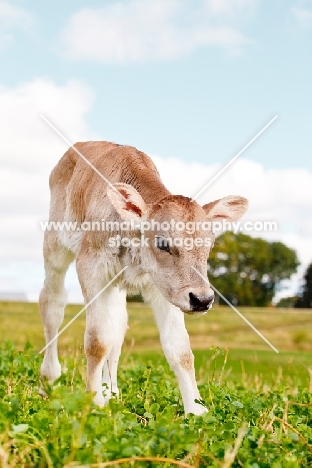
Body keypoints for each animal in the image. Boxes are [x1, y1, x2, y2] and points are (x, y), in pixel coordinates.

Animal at [39, 141, 249, 414]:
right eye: (162, 243)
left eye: (210, 244)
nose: (202, 299)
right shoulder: (90, 267)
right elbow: (97, 340)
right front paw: (92, 402)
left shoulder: (163, 286)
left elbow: (180, 348)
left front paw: (197, 411)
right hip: (54, 245)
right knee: (52, 304)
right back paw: (49, 380)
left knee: (118, 325)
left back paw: (111, 393)